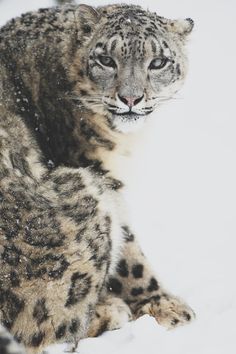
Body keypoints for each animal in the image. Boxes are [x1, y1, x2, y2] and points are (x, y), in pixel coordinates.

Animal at [0, 3, 195, 354]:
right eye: (106, 59)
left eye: (158, 62)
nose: (130, 98)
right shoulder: (98, 171)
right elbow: (130, 253)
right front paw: (165, 306)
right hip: (87, 196)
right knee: (39, 327)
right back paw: (111, 310)